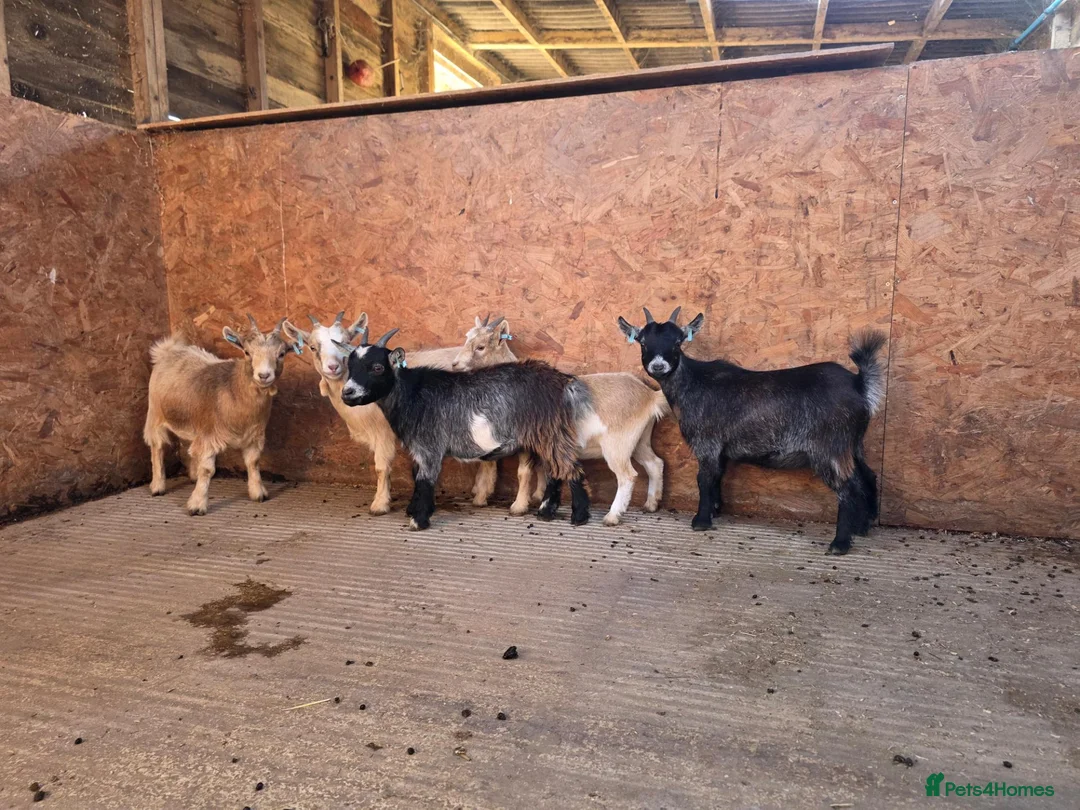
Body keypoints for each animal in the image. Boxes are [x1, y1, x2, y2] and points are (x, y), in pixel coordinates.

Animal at [144, 315, 300, 516]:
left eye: (281, 354)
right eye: (247, 352)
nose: (264, 375)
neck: (234, 388)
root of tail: (168, 350)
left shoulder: (253, 435)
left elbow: (253, 462)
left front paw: (258, 493)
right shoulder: (209, 434)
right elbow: (207, 470)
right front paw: (197, 504)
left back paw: (192, 475)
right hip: (155, 413)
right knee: (157, 447)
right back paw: (157, 486)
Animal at [283, 312, 509, 513]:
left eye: (345, 341)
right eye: (313, 347)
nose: (333, 367)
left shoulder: (383, 433)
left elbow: (381, 467)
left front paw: (380, 504)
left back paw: (482, 495)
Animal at [336, 325, 591, 530]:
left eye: (377, 367)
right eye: (350, 366)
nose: (347, 393)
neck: (412, 393)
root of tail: (562, 381)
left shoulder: (429, 445)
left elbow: (424, 480)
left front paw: (418, 520)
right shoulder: (419, 447)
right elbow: (415, 475)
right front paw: (415, 510)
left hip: (550, 430)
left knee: (570, 468)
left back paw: (579, 516)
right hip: (547, 433)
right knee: (555, 472)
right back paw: (546, 511)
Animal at [451, 318, 669, 526]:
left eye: (480, 347)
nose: (454, 364)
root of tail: (650, 396)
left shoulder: (526, 444)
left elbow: (524, 472)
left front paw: (519, 506)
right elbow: (544, 471)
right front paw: (538, 498)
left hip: (617, 446)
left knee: (627, 476)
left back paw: (612, 516)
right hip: (639, 441)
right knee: (654, 463)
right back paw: (651, 504)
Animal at [618, 306, 886, 555]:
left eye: (677, 342)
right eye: (643, 342)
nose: (658, 366)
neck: (693, 382)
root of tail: (859, 385)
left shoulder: (707, 442)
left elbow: (704, 478)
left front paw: (701, 521)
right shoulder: (721, 448)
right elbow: (717, 476)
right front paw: (715, 511)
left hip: (829, 448)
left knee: (847, 487)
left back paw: (840, 543)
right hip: (853, 444)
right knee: (867, 476)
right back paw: (862, 527)